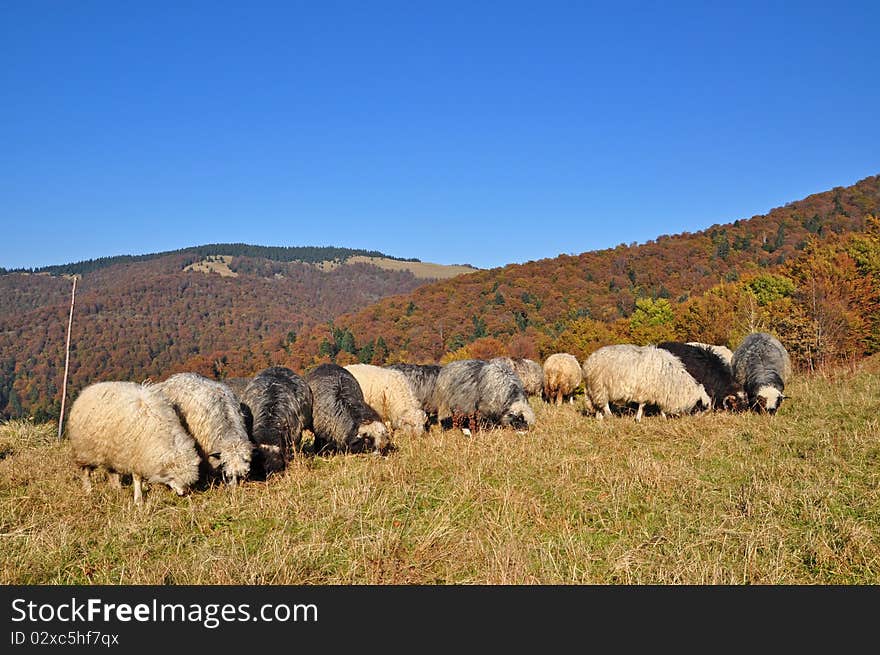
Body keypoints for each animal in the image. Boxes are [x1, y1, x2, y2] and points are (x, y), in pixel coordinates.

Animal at [67, 380, 201, 508]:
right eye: (173, 476)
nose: (184, 493)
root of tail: (90, 388)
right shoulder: (135, 455)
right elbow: (137, 478)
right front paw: (138, 500)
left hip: (112, 450)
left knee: (112, 471)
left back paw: (117, 489)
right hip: (85, 449)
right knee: (85, 471)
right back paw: (88, 491)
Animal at [580, 346, 712, 422]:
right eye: (702, 405)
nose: (700, 421)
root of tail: (588, 362)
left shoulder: (659, 392)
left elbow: (660, 407)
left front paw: (663, 417)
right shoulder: (646, 390)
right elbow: (642, 405)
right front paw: (638, 419)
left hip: (594, 388)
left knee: (597, 404)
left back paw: (599, 418)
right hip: (600, 385)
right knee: (604, 403)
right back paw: (609, 415)